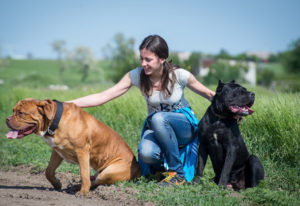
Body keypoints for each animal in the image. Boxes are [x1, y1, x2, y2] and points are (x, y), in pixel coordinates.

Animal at [5, 99, 141, 196]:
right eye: (13, 110)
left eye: (21, 113)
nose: (6, 119)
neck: (55, 121)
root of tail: (138, 167)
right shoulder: (57, 151)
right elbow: (48, 171)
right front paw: (57, 184)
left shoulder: (82, 151)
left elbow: (84, 173)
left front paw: (83, 192)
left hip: (109, 172)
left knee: (96, 180)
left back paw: (77, 188)